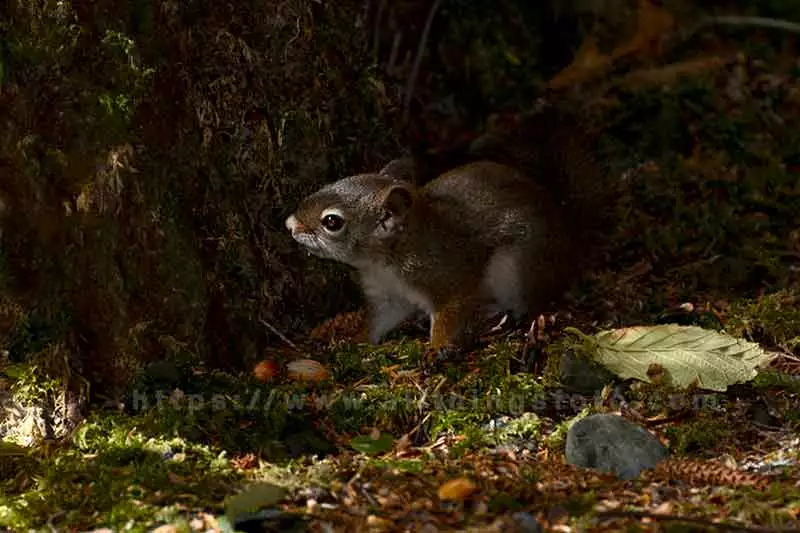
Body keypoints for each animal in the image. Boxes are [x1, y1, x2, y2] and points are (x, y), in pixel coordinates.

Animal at [286, 105, 612, 352]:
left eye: (332, 222)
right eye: (337, 179)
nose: (290, 224)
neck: (386, 258)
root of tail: (569, 245)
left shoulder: (446, 277)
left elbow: (449, 313)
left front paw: (436, 351)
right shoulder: (389, 296)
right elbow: (380, 320)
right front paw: (356, 342)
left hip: (520, 269)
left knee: (532, 302)